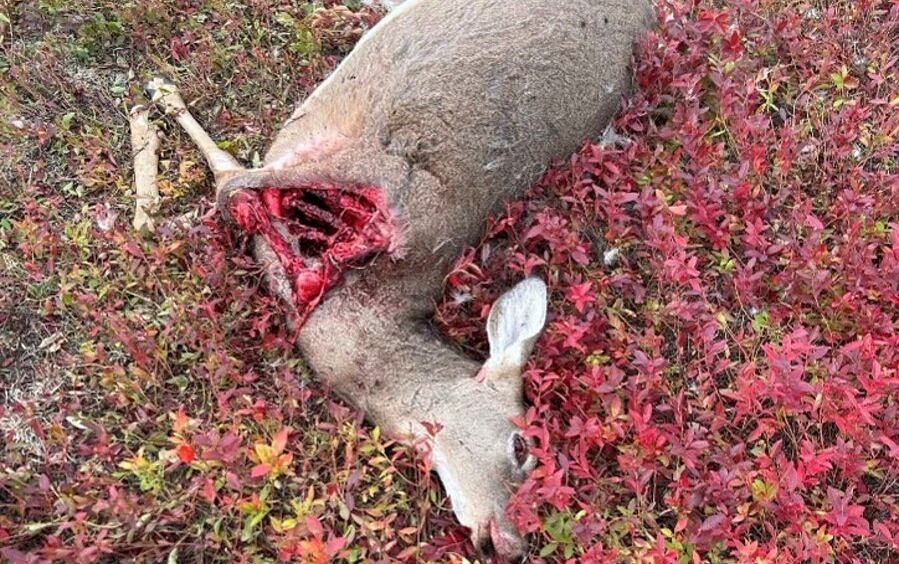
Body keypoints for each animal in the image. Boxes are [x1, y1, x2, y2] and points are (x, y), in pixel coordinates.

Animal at [145, 0, 652, 560]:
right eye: (521, 446)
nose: (510, 543)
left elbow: (229, 179)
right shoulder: (381, 178)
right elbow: (228, 179)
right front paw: (159, 109)